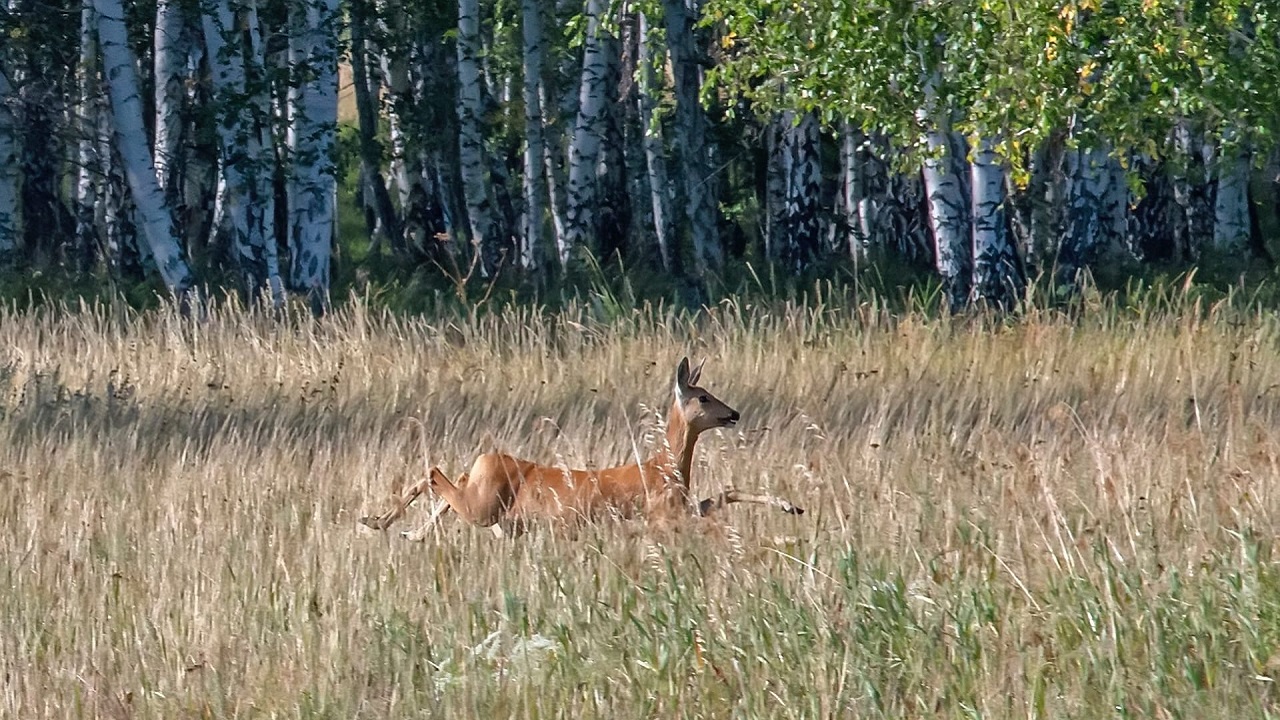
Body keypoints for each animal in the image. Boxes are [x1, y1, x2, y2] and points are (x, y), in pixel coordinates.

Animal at [360, 356, 798, 535]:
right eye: (704, 396)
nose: (734, 413)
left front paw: (791, 506)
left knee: (447, 481)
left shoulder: (682, 506)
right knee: (434, 473)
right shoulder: (662, 513)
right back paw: (380, 522)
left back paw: (398, 529)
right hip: (482, 505)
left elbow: (727, 492)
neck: (666, 467)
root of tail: (486, 458)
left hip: (480, 494)